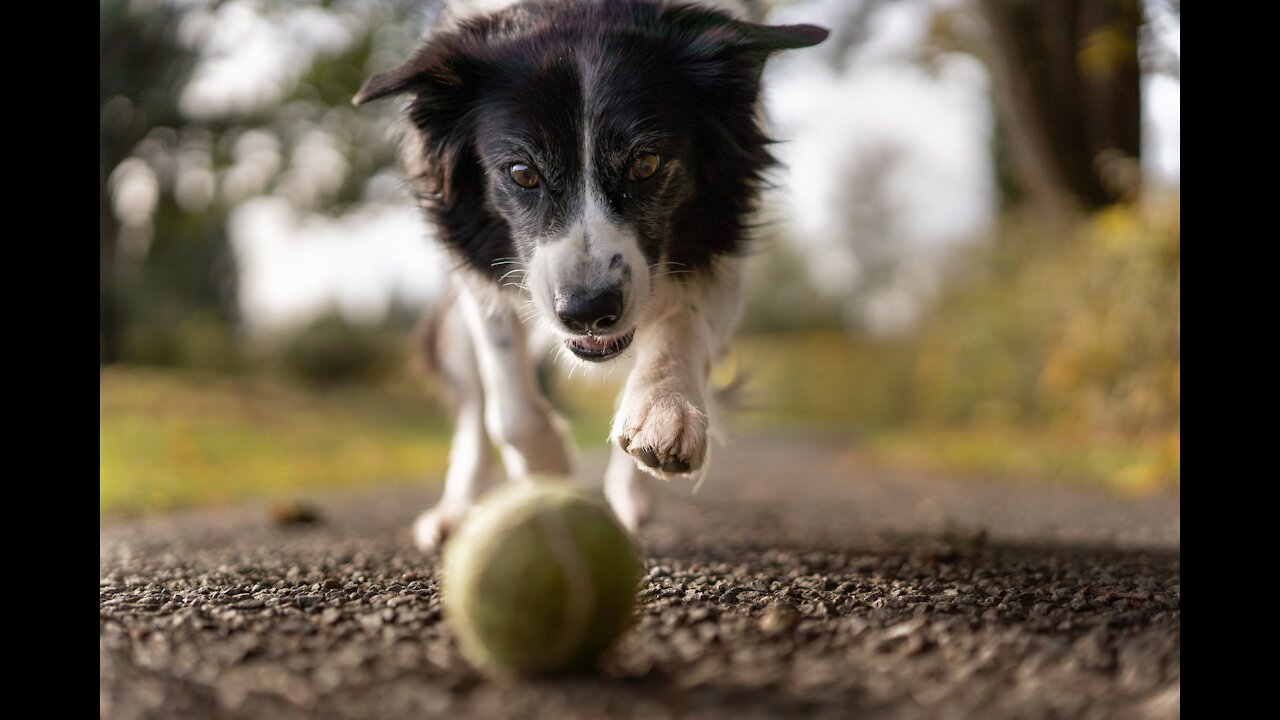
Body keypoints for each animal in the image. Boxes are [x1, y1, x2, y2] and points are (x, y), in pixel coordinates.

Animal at [353, 0, 829, 545]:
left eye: (646, 164)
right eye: (522, 173)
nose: (587, 312)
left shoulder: (722, 248)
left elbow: (681, 322)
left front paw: (664, 411)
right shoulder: (478, 271)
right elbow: (507, 405)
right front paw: (549, 469)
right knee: (474, 410)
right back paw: (456, 511)